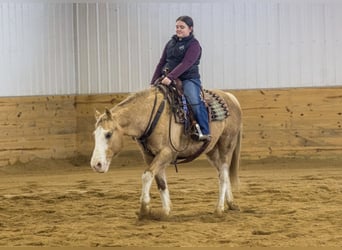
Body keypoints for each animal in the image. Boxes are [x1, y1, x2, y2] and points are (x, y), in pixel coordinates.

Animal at [89, 85, 242, 217]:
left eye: (108, 134)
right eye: (94, 134)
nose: (96, 164)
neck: (150, 116)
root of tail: (230, 97)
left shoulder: (167, 153)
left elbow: (147, 175)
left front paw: (144, 209)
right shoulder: (149, 155)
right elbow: (160, 181)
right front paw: (166, 211)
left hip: (226, 145)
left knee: (223, 174)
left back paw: (219, 208)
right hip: (211, 150)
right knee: (223, 172)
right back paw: (231, 203)